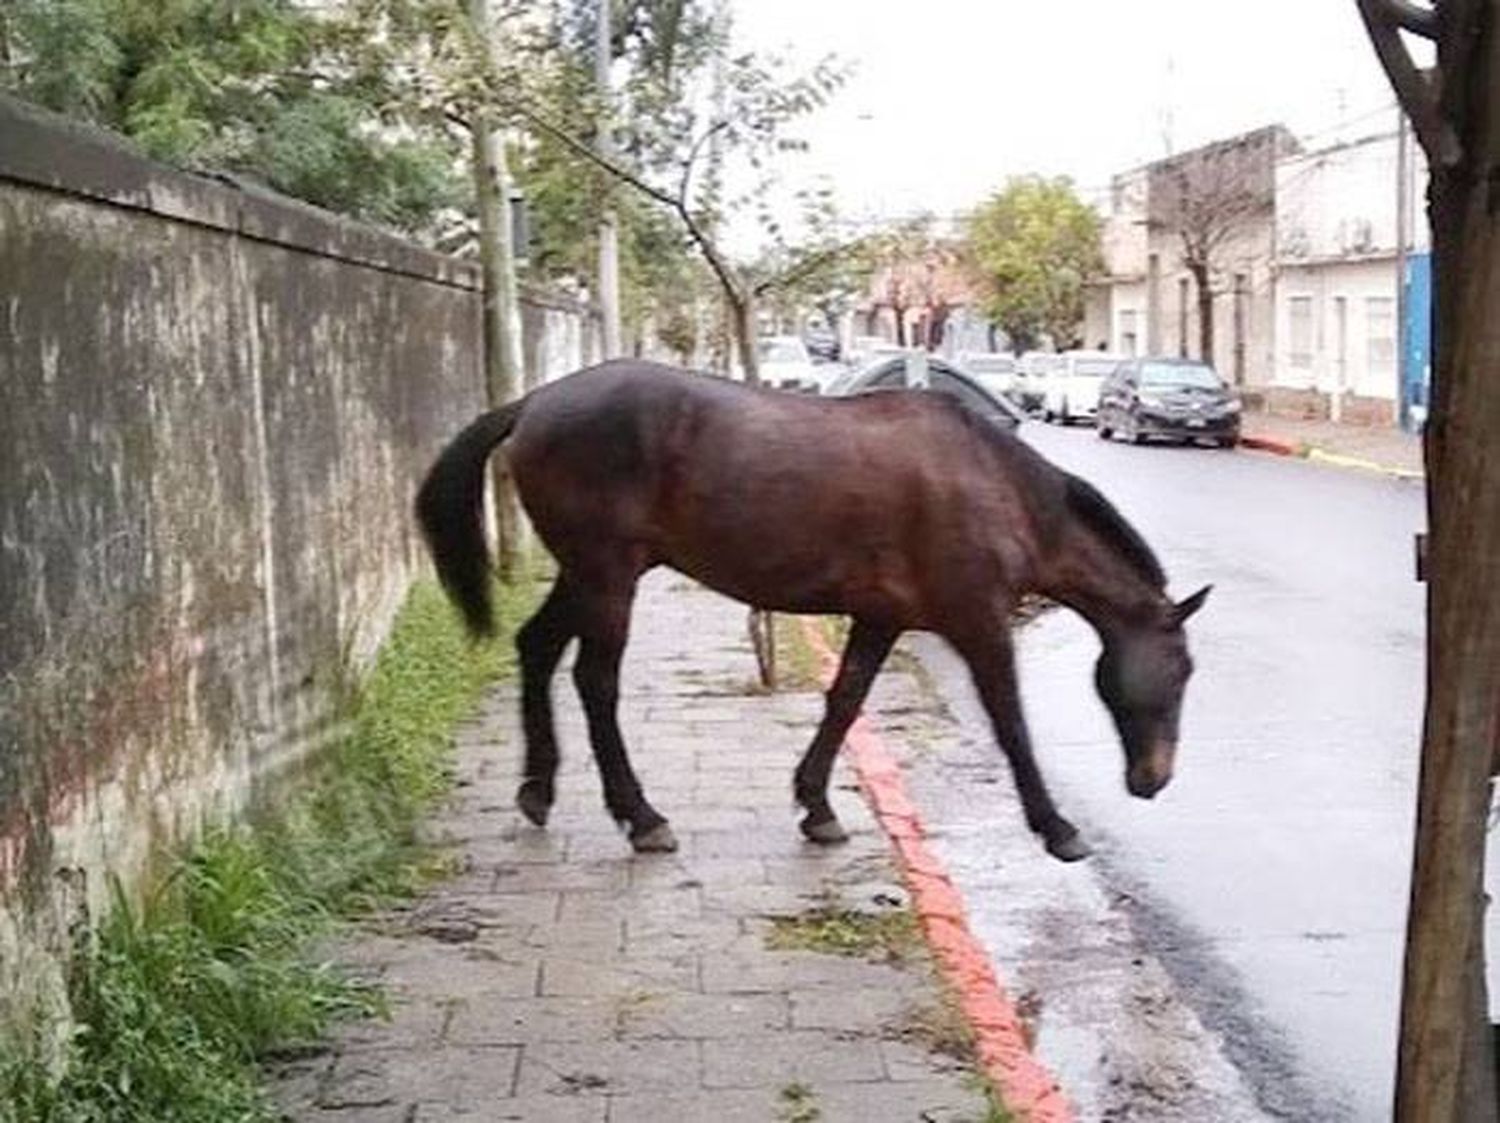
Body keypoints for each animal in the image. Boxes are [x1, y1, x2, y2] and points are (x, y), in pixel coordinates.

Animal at [414, 356, 1206, 857]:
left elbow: (844, 700)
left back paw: (538, 790)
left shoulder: (882, 619)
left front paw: (818, 807)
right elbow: (1011, 725)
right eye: (1182, 671)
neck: (996, 486)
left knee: (536, 649)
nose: (1155, 779)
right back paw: (640, 817)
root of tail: (533, 404)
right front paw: (1057, 827)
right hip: (607, 577)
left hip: (584, 575)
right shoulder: (978, 624)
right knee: (594, 682)